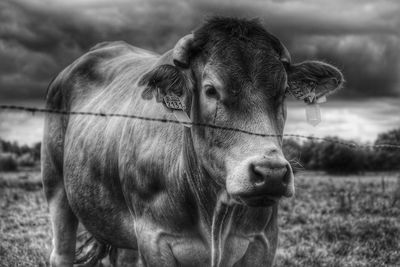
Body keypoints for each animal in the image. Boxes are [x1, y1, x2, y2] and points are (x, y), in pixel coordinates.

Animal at [43, 17, 344, 267]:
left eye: (282, 93)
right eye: (210, 90)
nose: (271, 173)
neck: (214, 210)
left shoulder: (264, 239)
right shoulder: (154, 239)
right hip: (56, 188)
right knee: (61, 253)